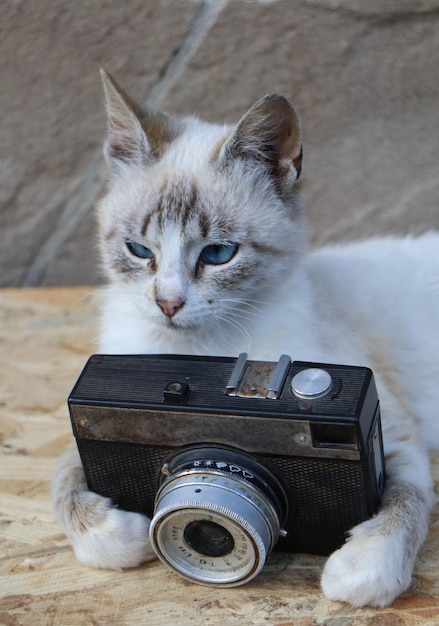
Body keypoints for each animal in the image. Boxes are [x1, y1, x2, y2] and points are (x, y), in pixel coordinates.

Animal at [52, 70, 439, 608]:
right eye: (138, 250)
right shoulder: (99, 409)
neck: (198, 359)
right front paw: (111, 532)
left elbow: (408, 498)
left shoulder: (389, 424)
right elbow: (65, 475)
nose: (167, 303)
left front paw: (365, 569)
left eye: (218, 254)